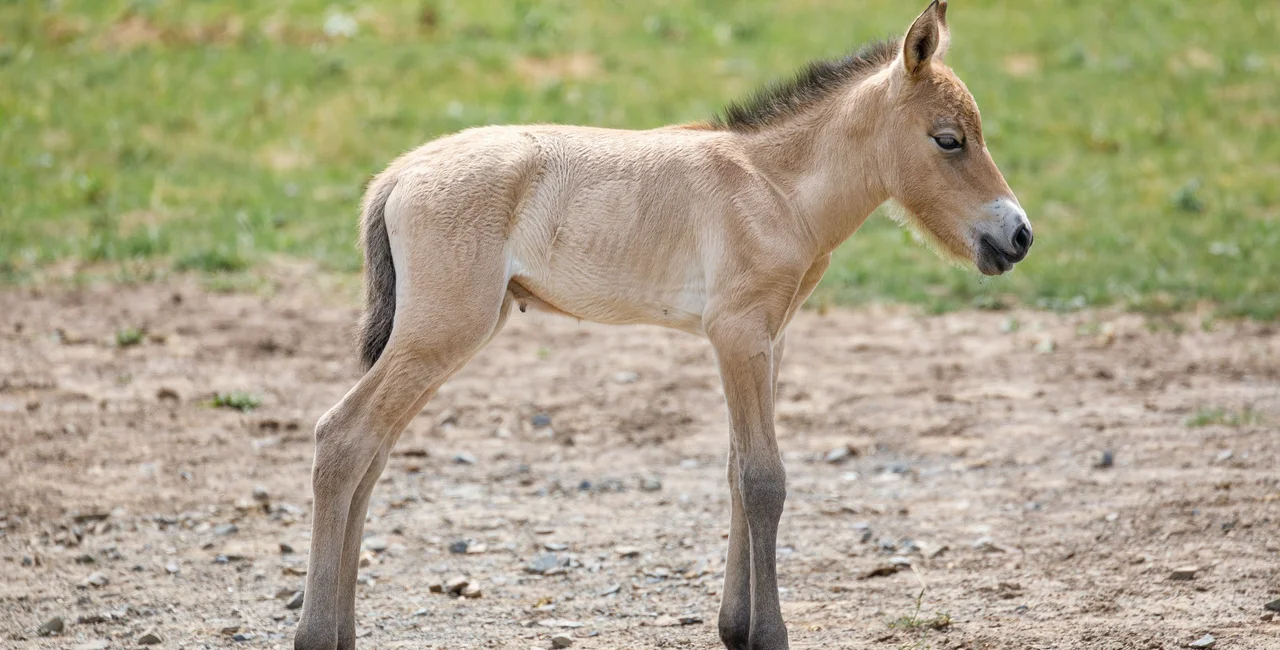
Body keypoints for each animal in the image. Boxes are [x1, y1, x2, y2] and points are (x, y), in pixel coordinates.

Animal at [294, 2, 1034, 647]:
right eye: (949, 139)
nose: (1019, 235)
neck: (774, 188)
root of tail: (399, 172)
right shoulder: (738, 335)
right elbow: (763, 479)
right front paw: (768, 635)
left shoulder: (768, 341)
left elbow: (737, 471)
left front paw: (735, 628)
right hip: (442, 331)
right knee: (343, 437)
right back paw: (318, 635)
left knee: (372, 450)